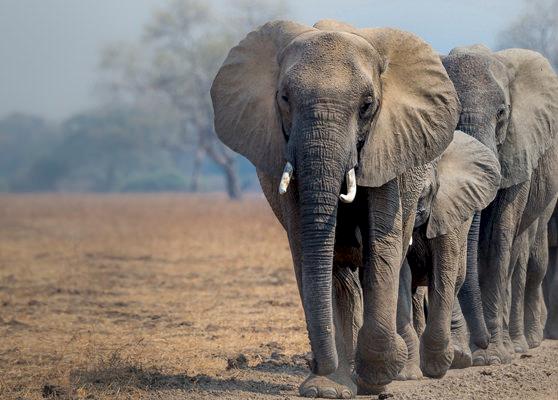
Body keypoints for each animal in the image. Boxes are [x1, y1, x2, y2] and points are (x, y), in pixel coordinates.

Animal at [212, 19, 462, 396]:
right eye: (284, 99)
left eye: (367, 104)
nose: (318, 364)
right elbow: (308, 250)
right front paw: (325, 388)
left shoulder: (387, 146)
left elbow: (382, 246)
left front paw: (377, 376)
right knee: (339, 275)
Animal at [398, 132, 504, 382]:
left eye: (425, 194)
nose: (485, 342)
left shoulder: (446, 208)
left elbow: (444, 268)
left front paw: (437, 366)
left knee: (456, 279)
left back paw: (459, 358)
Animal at [444, 46, 558, 366]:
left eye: (502, 113)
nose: (480, 343)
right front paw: (464, 354)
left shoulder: (519, 146)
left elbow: (498, 236)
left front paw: (491, 357)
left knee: (527, 260)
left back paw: (521, 344)